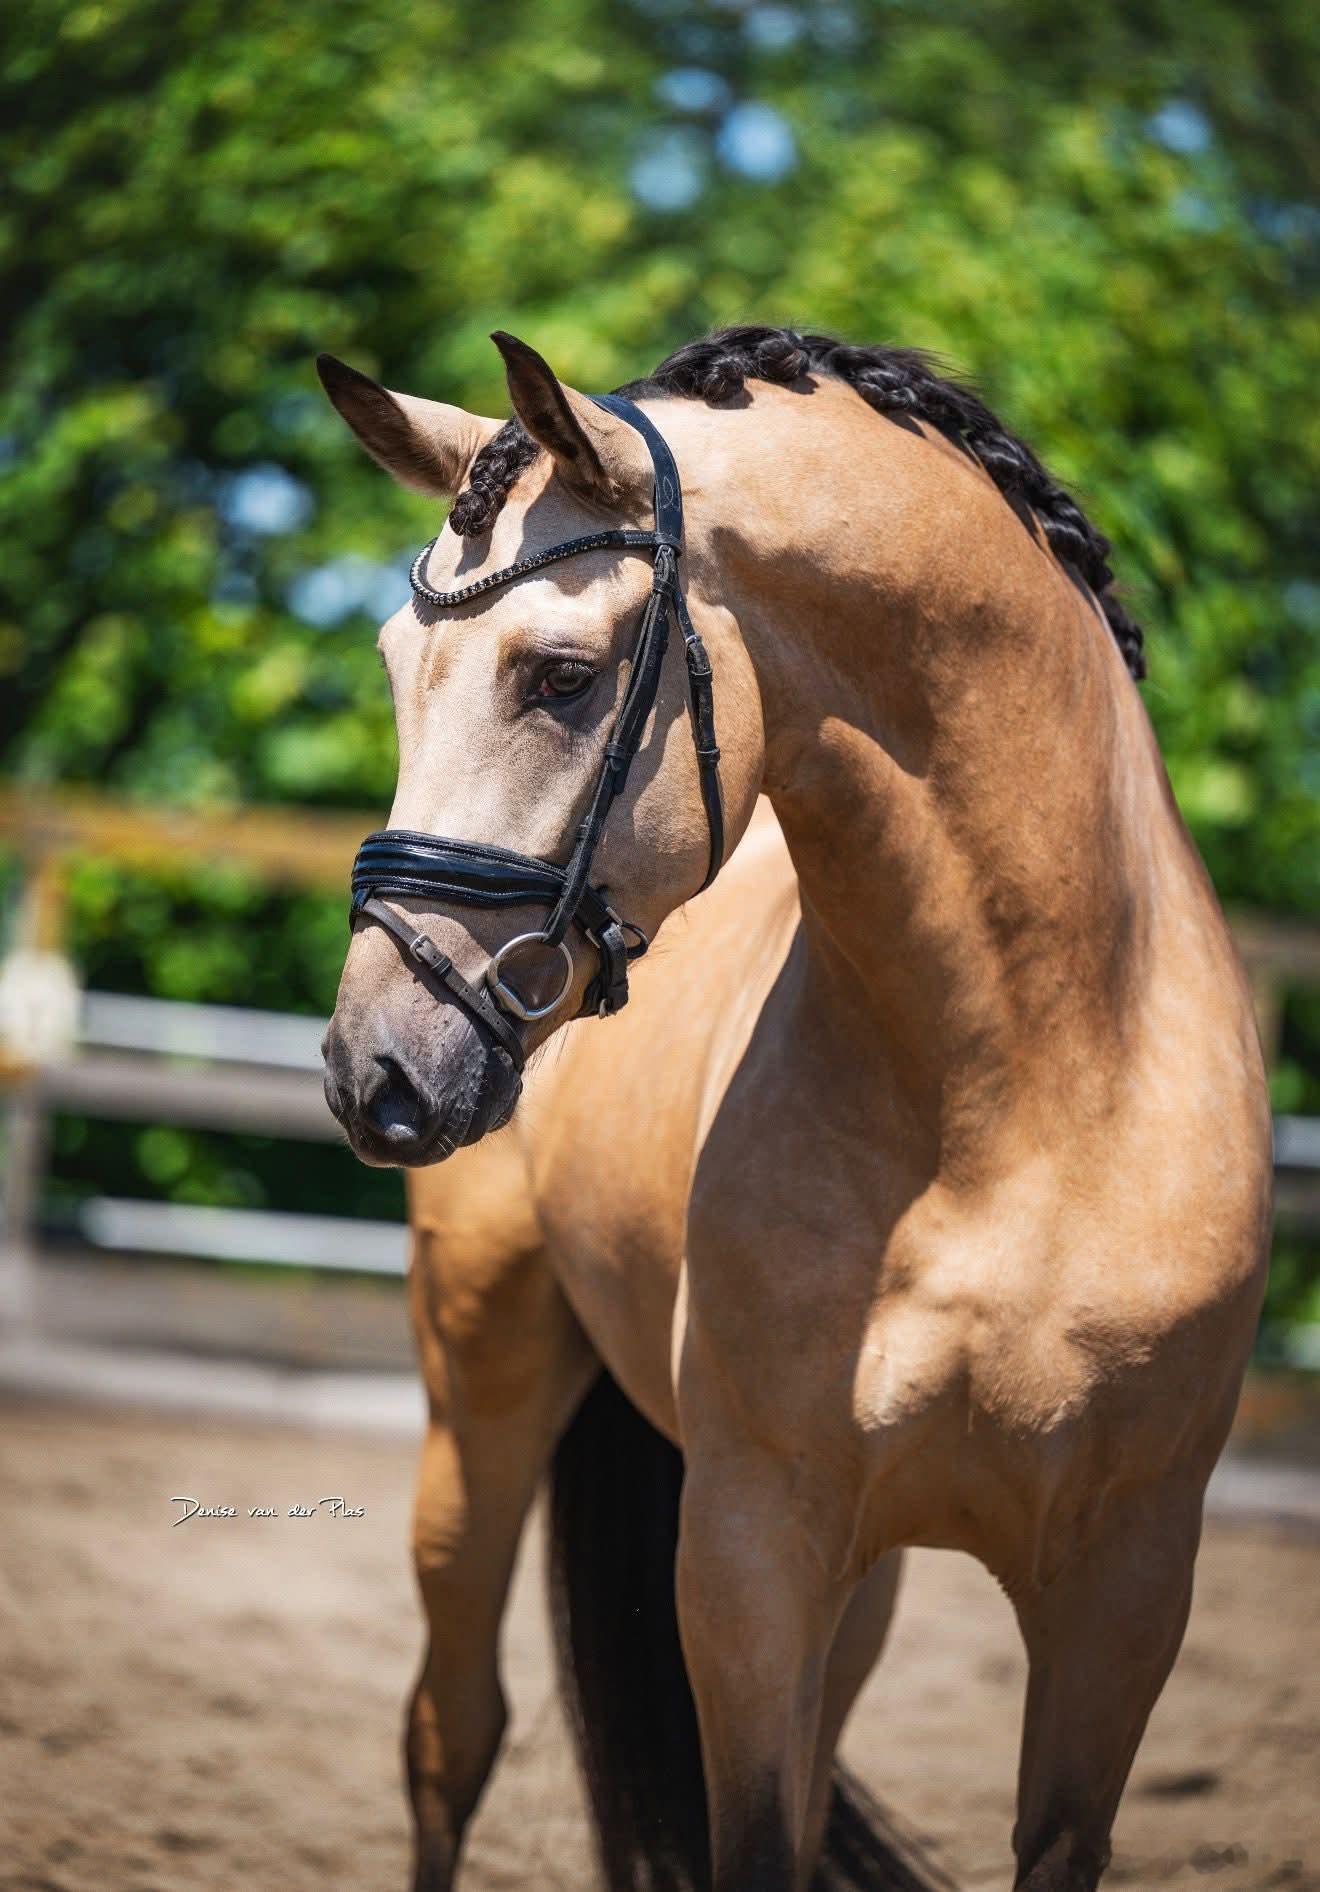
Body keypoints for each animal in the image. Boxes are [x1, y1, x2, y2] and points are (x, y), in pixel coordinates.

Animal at [317, 326, 1272, 1892]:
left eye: (560, 675)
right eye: (399, 664)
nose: (372, 1069)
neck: (1024, 1103)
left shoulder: (1125, 1590)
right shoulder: (753, 1547)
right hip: (482, 1399)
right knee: (448, 1736)